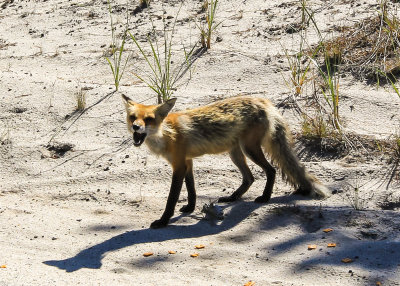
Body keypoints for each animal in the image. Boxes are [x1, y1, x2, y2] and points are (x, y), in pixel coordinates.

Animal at [122, 95, 328, 229]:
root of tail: (263, 101)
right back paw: (232, 198)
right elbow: (192, 189)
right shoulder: (187, 162)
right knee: (249, 178)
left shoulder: (179, 165)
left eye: (149, 119)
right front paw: (190, 208)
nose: (136, 127)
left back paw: (264, 197)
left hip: (249, 149)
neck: (167, 134)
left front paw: (163, 221)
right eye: (133, 117)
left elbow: (172, 198)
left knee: (271, 171)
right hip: (235, 153)